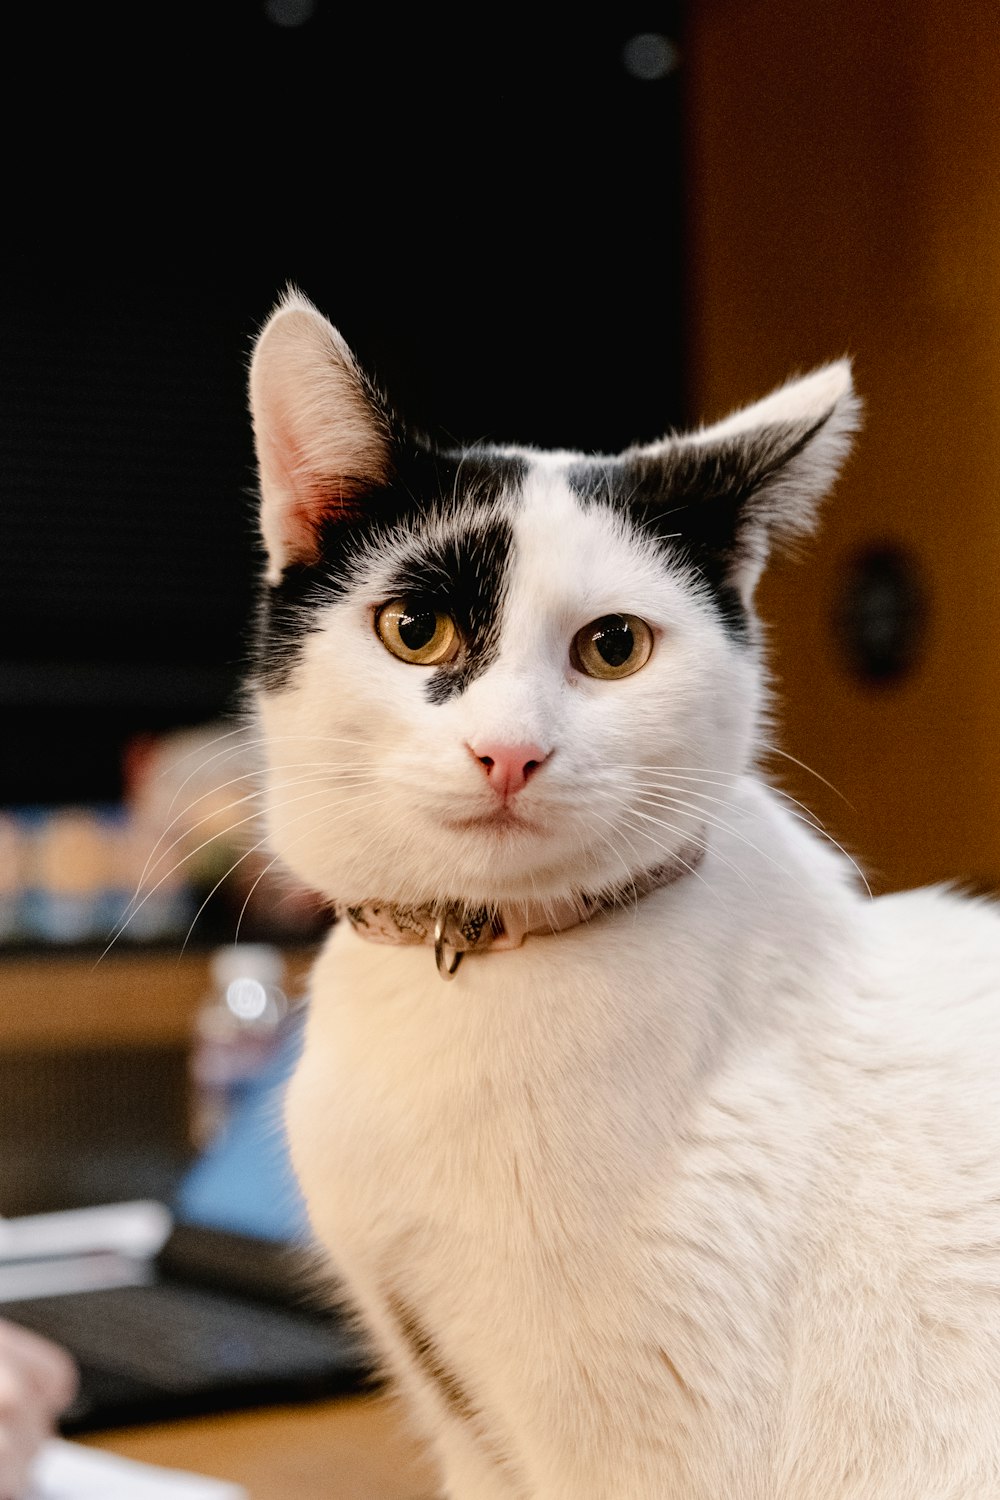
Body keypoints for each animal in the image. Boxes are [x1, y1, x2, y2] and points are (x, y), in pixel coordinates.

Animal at [248, 292, 1000, 1500]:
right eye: (415, 628)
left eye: (613, 649)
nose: (509, 753)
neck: (468, 972)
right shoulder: (473, 1436)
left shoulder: (654, 1447)